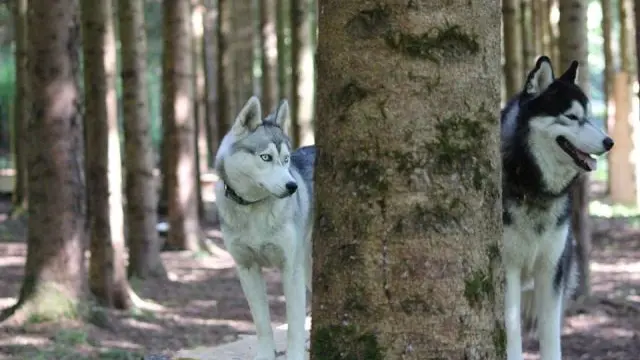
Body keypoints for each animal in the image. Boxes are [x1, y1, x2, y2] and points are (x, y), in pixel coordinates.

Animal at [215, 96, 316, 360]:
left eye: (286, 159)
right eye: (266, 157)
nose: (292, 186)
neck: (253, 209)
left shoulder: (290, 269)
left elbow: (294, 324)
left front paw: (295, 355)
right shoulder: (247, 268)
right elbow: (262, 323)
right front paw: (265, 354)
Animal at [502, 56, 612, 360]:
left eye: (589, 116)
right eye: (572, 117)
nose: (609, 142)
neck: (532, 185)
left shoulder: (551, 271)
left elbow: (551, 339)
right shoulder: (508, 270)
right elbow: (512, 336)